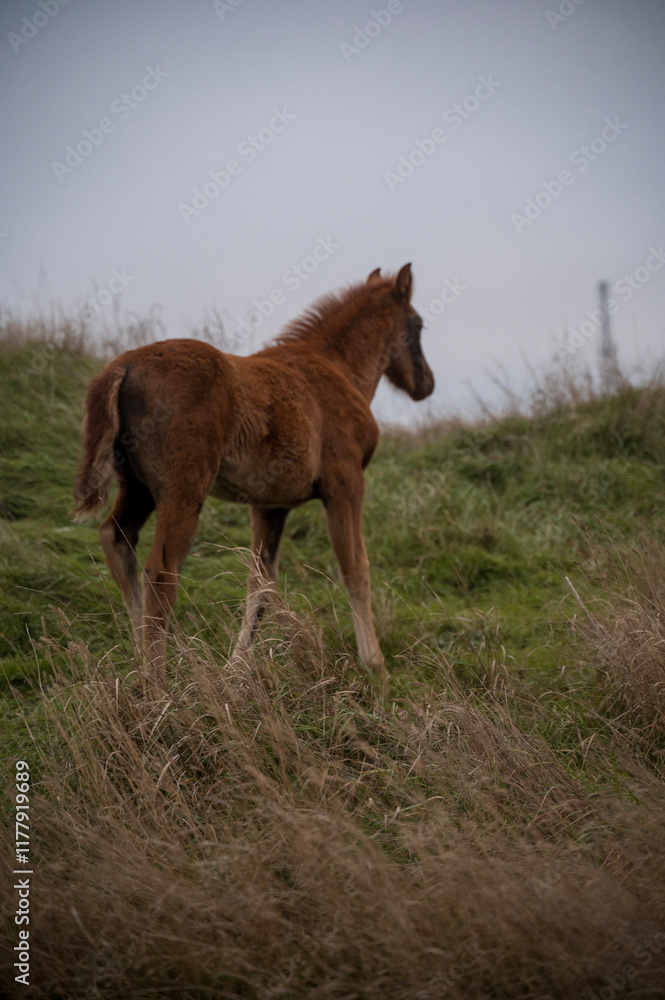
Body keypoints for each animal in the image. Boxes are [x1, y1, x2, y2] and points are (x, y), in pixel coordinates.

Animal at [73, 263, 434, 693]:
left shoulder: (270, 504)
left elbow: (260, 584)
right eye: (417, 324)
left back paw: (140, 664)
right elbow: (354, 567)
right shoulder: (345, 483)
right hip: (183, 488)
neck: (337, 368)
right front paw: (374, 662)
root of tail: (122, 366)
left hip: (137, 486)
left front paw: (238, 669)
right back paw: (159, 686)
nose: (426, 384)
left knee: (116, 539)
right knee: (160, 574)